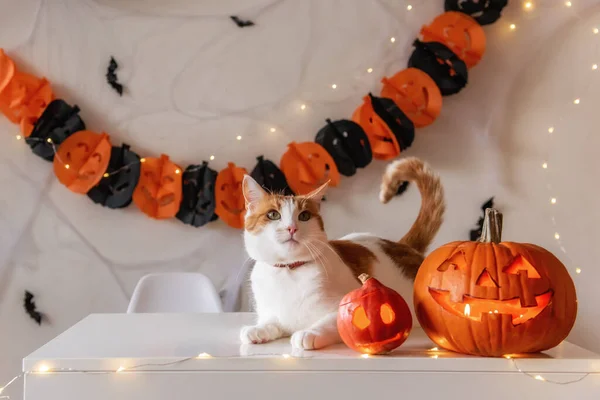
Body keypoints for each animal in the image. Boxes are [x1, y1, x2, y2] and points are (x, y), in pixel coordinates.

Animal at [240, 156, 446, 350]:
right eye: (273, 215)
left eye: (304, 216)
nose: (292, 228)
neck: (289, 271)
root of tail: (402, 245)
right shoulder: (272, 313)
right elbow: (271, 322)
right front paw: (258, 330)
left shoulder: (344, 308)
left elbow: (328, 323)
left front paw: (308, 333)